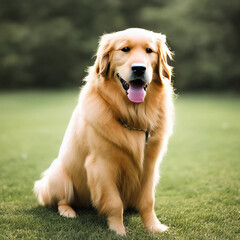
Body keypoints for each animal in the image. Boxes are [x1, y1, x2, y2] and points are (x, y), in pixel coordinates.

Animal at [33, 27, 173, 234]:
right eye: (125, 49)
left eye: (149, 51)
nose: (139, 68)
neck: (133, 115)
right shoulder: (101, 164)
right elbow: (114, 203)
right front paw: (118, 230)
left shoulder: (150, 165)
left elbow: (148, 201)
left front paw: (154, 227)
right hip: (59, 174)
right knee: (61, 199)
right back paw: (68, 211)